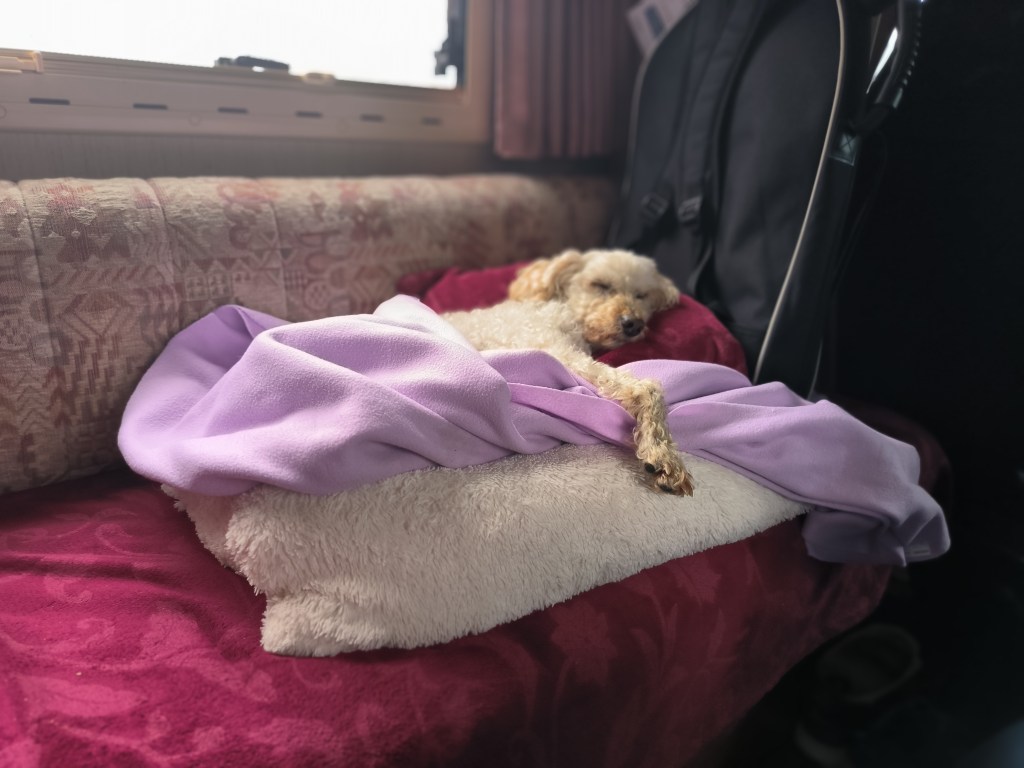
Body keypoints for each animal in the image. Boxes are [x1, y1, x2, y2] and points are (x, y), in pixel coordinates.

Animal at [443, 248, 693, 495]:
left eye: (641, 295)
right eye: (600, 285)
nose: (634, 324)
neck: (566, 313)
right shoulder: (560, 353)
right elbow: (649, 388)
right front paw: (663, 454)